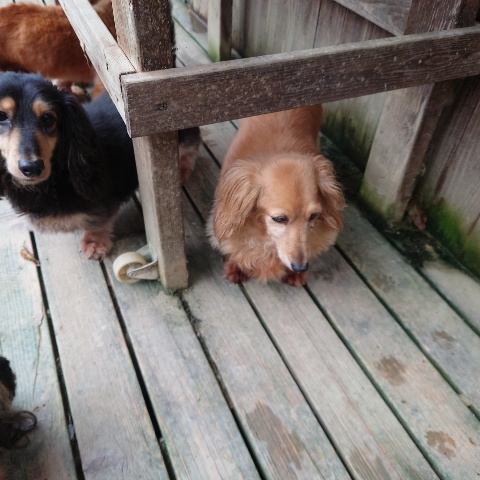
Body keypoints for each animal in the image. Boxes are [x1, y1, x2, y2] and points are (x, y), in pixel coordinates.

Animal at [0, 72, 200, 259]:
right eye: (2, 115)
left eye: (48, 118)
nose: (32, 167)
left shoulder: (102, 204)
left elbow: (97, 222)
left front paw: (94, 243)